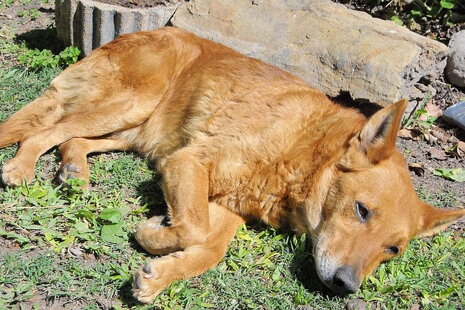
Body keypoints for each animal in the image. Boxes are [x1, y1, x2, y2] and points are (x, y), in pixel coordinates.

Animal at [0, 26, 464, 302]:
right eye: (362, 210)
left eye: (392, 249)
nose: (345, 286)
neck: (305, 149)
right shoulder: (189, 161)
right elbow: (193, 228)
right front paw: (154, 233)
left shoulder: (227, 206)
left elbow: (209, 247)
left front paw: (161, 272)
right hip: (131, 104)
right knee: (40, 133)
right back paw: (21, 169)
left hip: (133, 130)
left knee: (71, 139)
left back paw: (75, 172)